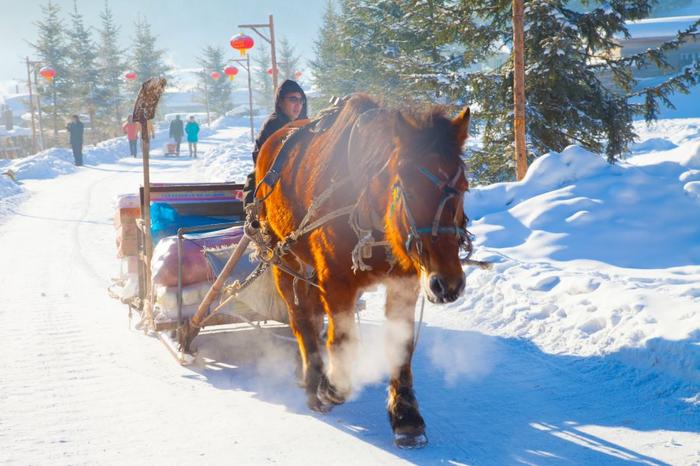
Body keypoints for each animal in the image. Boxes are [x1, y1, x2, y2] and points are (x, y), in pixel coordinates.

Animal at [253, 92, 470, 448]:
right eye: (407, 187)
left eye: (464, 186)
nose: (448, 283)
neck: (367, 202)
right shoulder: (335, 282)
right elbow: (342, 340)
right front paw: (331, 386)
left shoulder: (405, 281)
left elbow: (401, 345)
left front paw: (405, 416)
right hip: (281, 257)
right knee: (300, 318)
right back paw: (313, 378)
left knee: (310, 311)